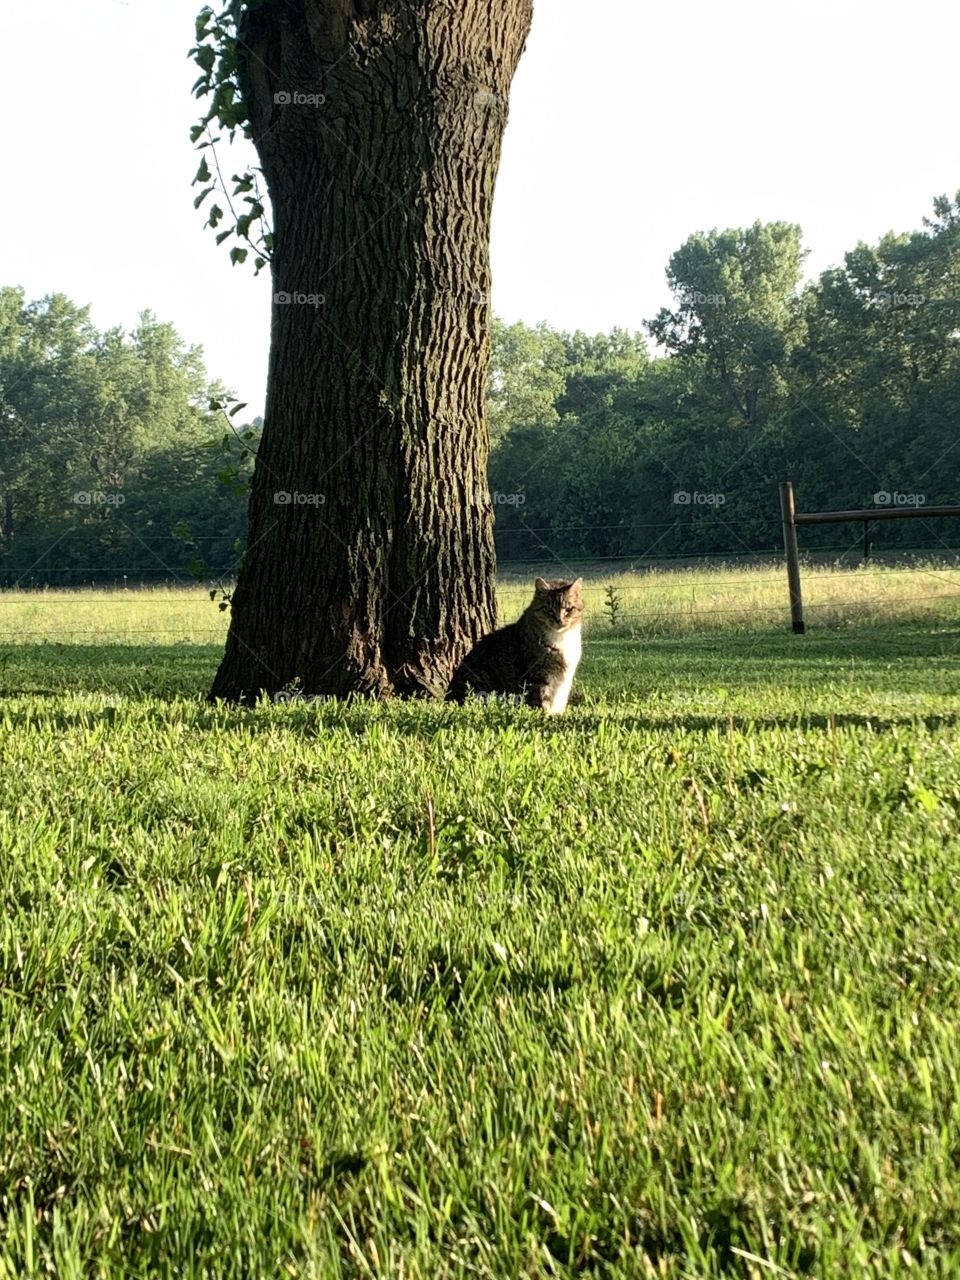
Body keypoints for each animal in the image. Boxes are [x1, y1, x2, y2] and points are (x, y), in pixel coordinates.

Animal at [445, 578, 586, 716]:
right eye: (549, 610)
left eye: (569, 609)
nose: (559, 621)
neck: (561, 637)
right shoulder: (538, 677)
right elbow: (541, 702)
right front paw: (546, 716)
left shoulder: (564, 680)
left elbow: (559, 701)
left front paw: (557, 715)